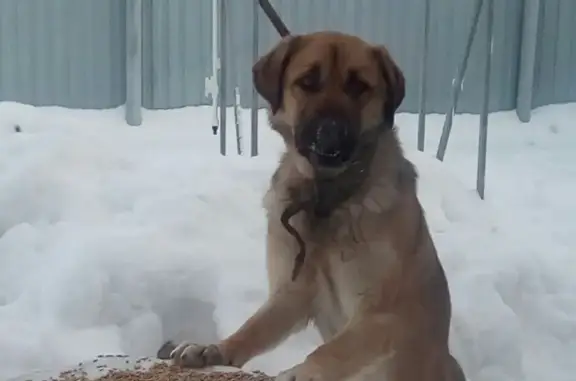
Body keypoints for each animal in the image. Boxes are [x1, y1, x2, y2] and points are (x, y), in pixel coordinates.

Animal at [161, 31, 464, 380]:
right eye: (307, 81)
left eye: (358, 86)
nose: (330, 132)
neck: (325, 197)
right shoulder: (292, 292)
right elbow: (254, 328)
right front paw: (215, 348)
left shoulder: (385, 312)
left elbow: (334, 350)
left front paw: (299, 373)